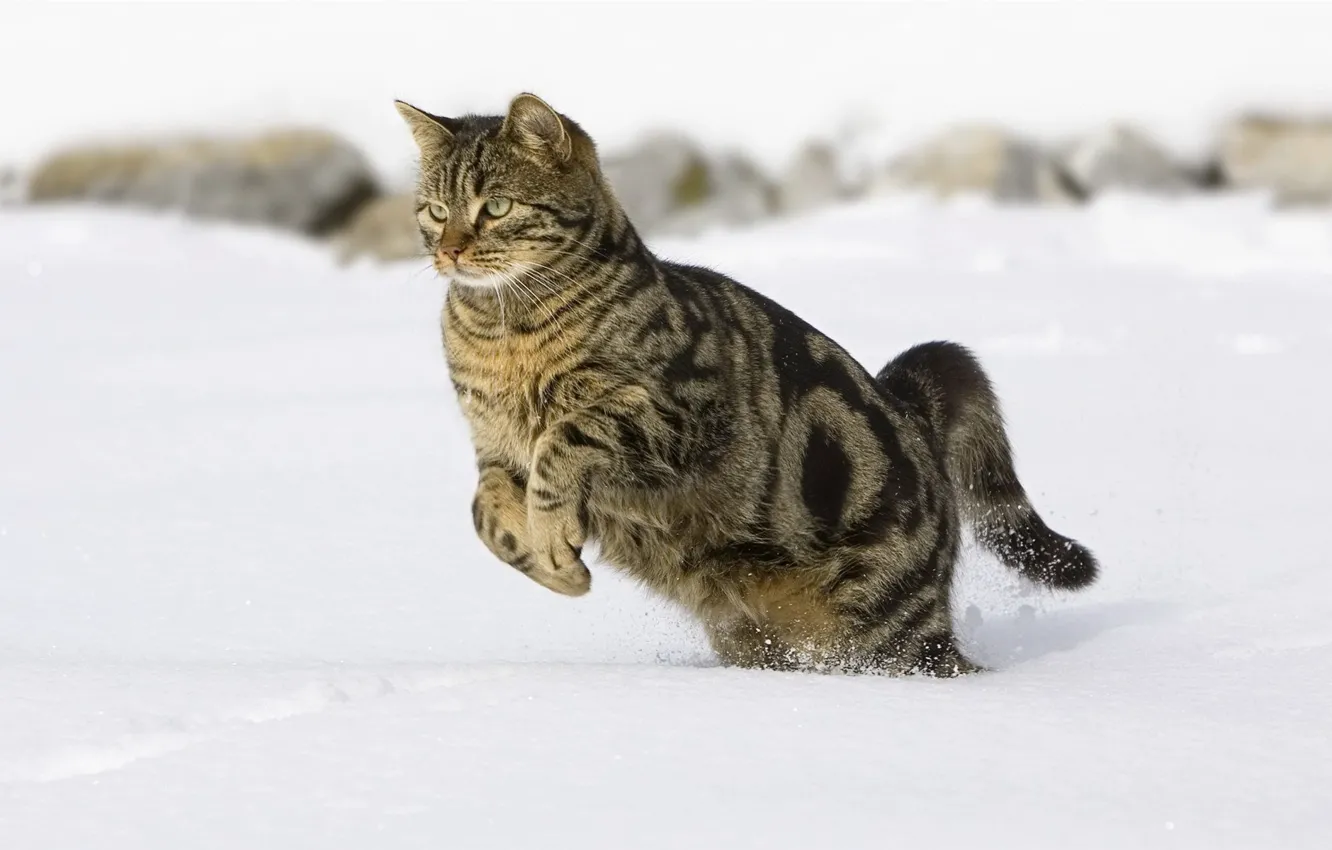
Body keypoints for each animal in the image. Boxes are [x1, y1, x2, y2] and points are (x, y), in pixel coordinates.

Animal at [391, 93, 1092, 679]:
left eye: (496, 207)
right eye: (435, 210)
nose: (449, 251)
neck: (502, 333)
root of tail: (912, 411)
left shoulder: (676, 413)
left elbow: (563, 442)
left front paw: (553, 538)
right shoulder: (493, 444)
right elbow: (484, 507)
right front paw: (552, 565)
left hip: (888, 632)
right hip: (756, 635)